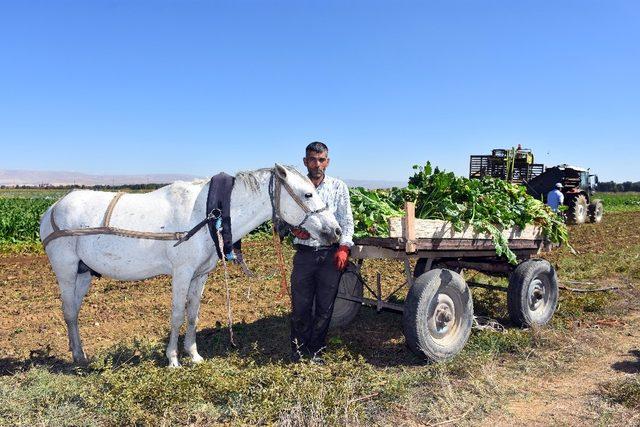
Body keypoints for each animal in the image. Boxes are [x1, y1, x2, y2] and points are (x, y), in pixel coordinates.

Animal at [40, 165, 342, 368]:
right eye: (307, 194)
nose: (336, 231)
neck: (209, 214)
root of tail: (52, 208)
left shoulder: (200, 275)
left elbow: (193, 314)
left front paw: (193, 354)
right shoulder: (182, 273)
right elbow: (176, 315)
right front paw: (173, 358)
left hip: (83, 273)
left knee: (74, 312)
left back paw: (80, 353)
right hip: (66, 270)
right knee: (69, 312)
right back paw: (77, 357)